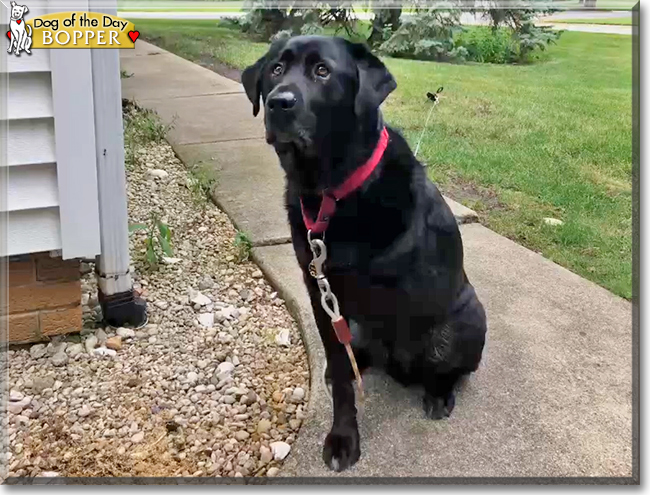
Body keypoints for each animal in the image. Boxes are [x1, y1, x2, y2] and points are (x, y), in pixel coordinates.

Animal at [243, 37, 486, 472]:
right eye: (275, 70)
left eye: (322, 71)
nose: (278, 102)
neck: (329, 193)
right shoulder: (322, 296)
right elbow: (343, 379)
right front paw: (343, 436)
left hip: (469, 317)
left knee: (449, 366)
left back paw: (438, 392)